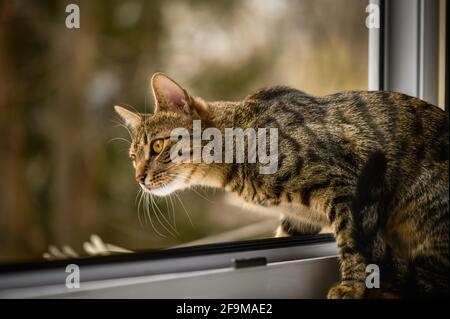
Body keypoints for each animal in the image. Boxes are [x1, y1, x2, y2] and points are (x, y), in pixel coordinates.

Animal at [114, 73, 448, 300]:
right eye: (132, 158)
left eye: (157, 146)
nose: (138, 177)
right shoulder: (298, 219)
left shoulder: (347, 187)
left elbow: (352, 242)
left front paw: (351, 286)